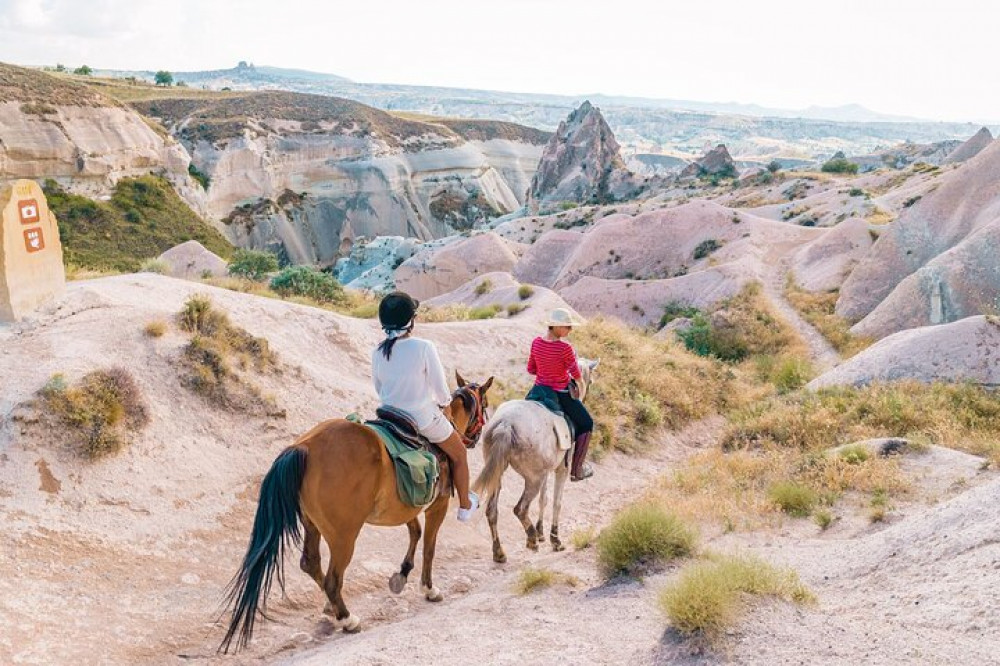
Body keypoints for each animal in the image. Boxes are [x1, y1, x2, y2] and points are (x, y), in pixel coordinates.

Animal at [223, 370, 496, 652]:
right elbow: (429, 548)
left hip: (312, 524)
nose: (475, 438)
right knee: (333, 578)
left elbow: (415, 532)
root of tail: (306, 446)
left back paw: (331, 608)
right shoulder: (437, 507)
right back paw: (347, 618)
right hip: (344, 535)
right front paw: (429, 589)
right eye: (485, 406)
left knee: (311, 563)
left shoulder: (405, 507)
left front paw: (402, 573)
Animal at [472, 358, 596, 560]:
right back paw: (531, 539)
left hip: (499, 473)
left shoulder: (546, 471)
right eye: (590, 381)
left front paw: (541, 532)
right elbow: (556, 502)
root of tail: (506, 424)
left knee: (492, 511)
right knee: (520, 508)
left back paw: (499, 552)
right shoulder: (561, 470)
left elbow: (543, 499)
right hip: (533, 479)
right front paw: (554, 539)